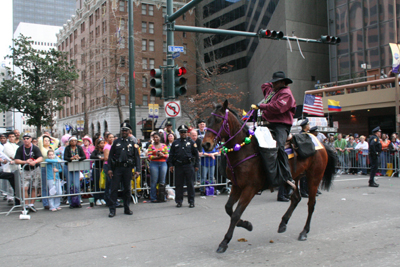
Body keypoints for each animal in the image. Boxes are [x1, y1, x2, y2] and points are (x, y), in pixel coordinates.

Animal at [202, 100, 336, 253]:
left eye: (218, 120)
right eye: (208, 120)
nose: (206, 144)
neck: (244, 149)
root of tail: (321, 143)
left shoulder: (250, 188)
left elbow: (235, 214)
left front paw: (225, 241)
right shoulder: (237, 185)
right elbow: (229, 208)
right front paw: (247, 224)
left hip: (314, 177)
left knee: (311, 204)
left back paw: (304, 232)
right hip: (295, 177)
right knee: (296, 198)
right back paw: (283, 223)